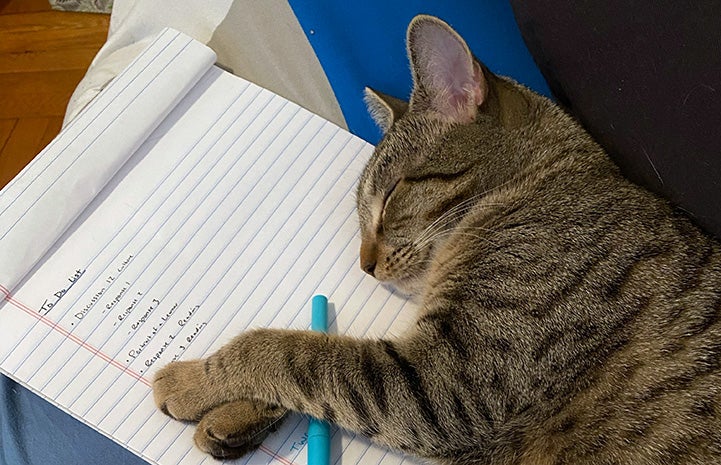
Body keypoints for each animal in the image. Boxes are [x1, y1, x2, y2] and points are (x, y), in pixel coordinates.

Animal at [153, 14, 720, 464]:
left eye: (389, 198)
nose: (363, 265)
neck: (537, 187)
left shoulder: (447, 381)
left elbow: (287, 350)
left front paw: (192, 380)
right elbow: (315, 358)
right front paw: (234, 416)